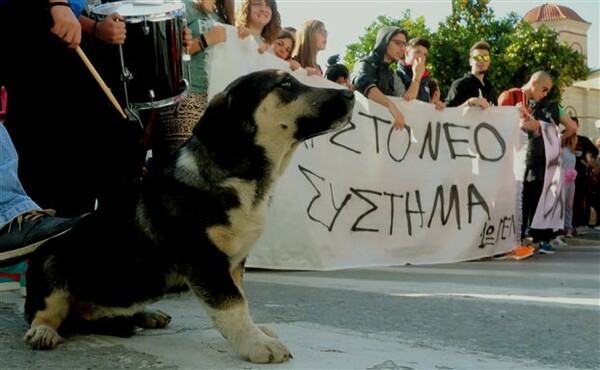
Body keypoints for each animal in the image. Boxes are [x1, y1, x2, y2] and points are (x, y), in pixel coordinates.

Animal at [22, 70, 352, 364]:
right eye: (285, 85)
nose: (349, 95)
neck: (241, 178)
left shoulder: (234, 262)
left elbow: (240, 301)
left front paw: (256, 332)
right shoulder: (204, 259)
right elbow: (233, 303)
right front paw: (257, 343)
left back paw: (148, 316)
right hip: (51, 267)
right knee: (44, 313)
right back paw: (43, 332)